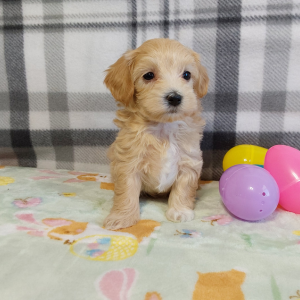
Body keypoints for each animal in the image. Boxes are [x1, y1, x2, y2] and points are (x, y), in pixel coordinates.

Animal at [103, 37, 209, 230]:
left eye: (187, 75)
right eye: (148, 75)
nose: (175, 97)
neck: (163, 128)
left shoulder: (189, 161)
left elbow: (184, 188)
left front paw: (180, 211)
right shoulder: (128, 163)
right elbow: (126, 192)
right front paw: (122, 217)